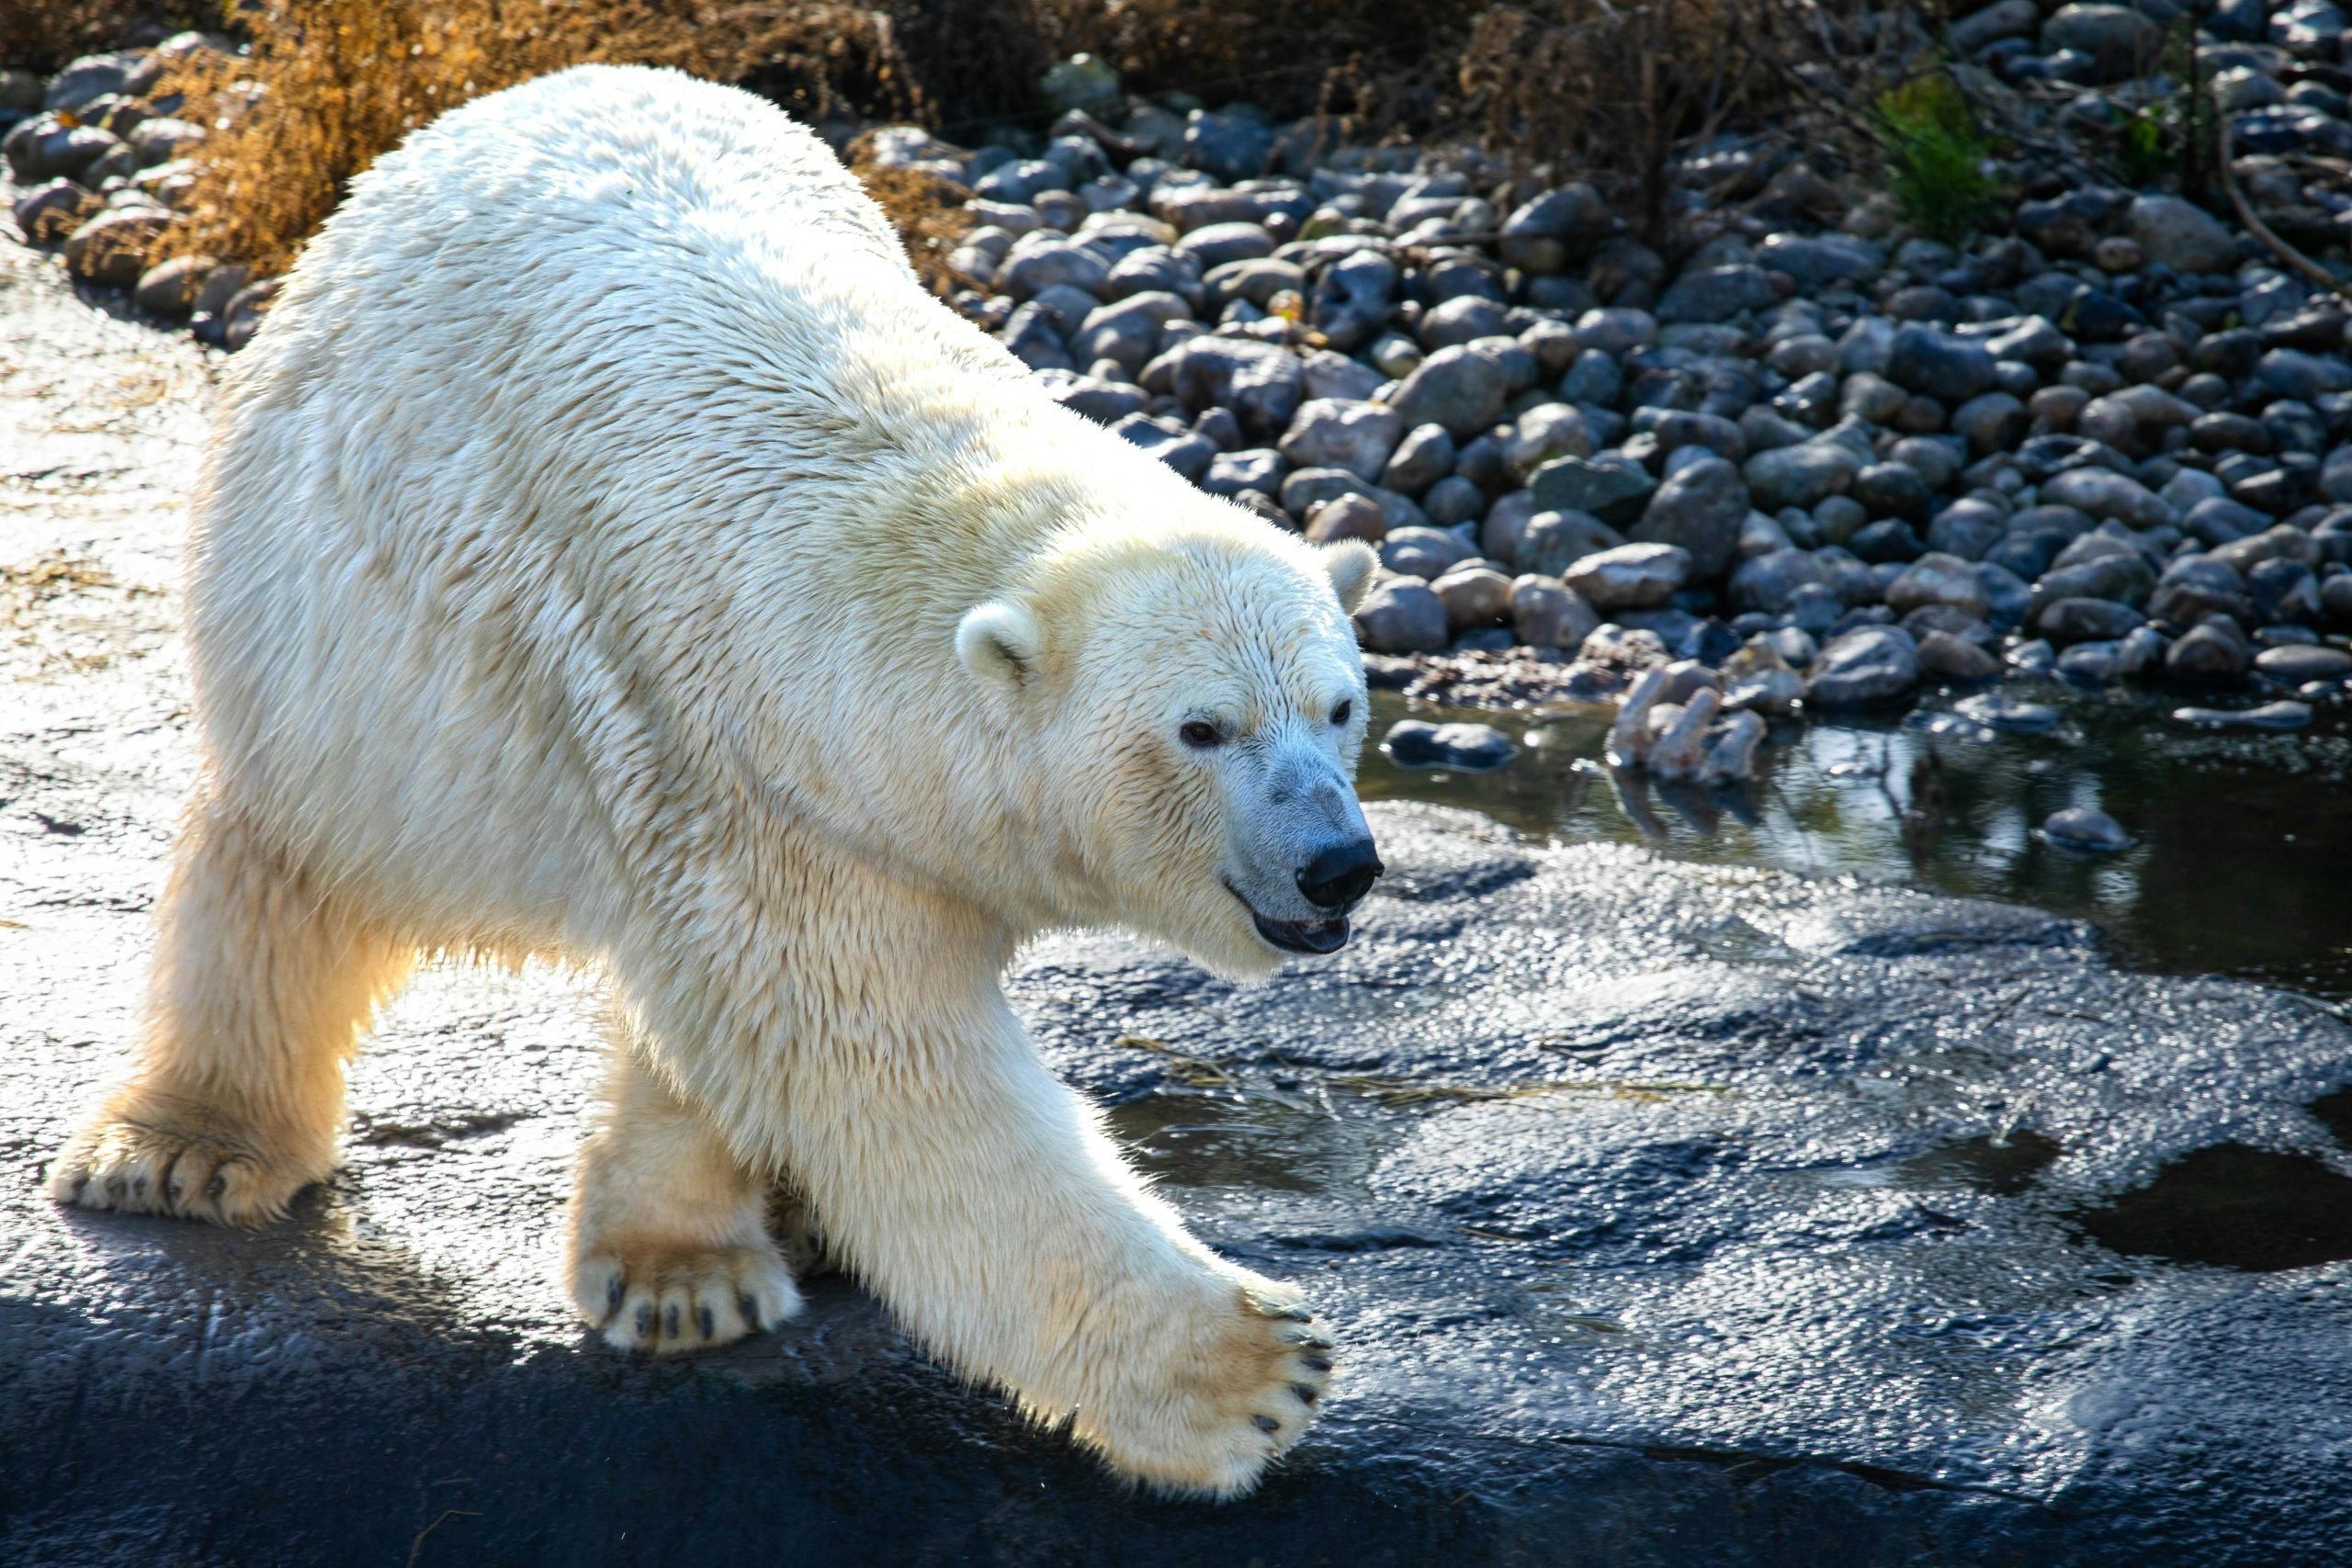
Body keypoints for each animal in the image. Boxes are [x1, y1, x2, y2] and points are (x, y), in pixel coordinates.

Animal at [45, 67, 1383, 1504]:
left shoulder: (772, 801)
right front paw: (1255, 1371)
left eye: (1341, 703)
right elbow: (892, 1076)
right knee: (294, 857)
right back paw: (182, 1147)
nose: (1339, 863)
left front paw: (690, 1267)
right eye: (1203, 728)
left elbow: (738, 1034)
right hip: (330, 620)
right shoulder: (734, 763)